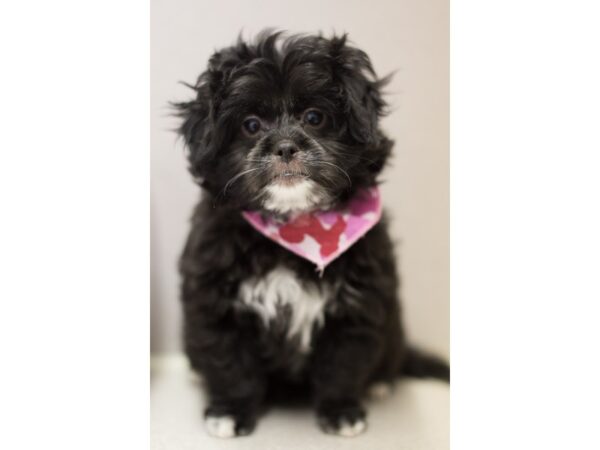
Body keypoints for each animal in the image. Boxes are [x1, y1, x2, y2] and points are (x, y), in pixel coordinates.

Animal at [173, 29, 446, 438]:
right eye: (250, 125)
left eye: (315, 117)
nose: (286, 146)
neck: (296, 226)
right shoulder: (214, 299)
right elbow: (229, 361)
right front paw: (231, 411)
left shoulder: (357, 305)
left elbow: (343, 364)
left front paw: (340, 411)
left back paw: (381, 382)